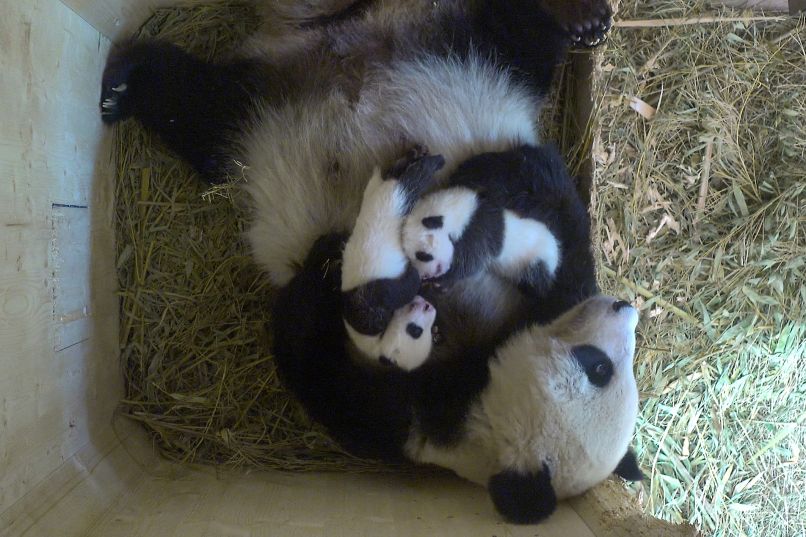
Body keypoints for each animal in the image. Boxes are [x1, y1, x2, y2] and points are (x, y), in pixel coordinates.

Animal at [341, 148, 445, 371]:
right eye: (415, 331)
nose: (428, 306)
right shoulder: (366, 312)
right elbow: (396, 289)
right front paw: (416, 276)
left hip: (386, 190)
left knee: (400, 173)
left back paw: (417, 155)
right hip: (397, 198)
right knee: (415, 178)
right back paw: (434, 161)